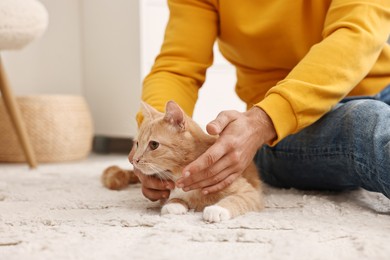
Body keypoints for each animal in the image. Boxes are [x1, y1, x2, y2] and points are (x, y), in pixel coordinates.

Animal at [102, 100, 264, 222]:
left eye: (153, 145)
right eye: (137, 144)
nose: (134, 160)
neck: (178, 174)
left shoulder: (249, 192)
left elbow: (236, 199)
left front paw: (217, 209)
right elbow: (174, 198)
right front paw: (174, 204)